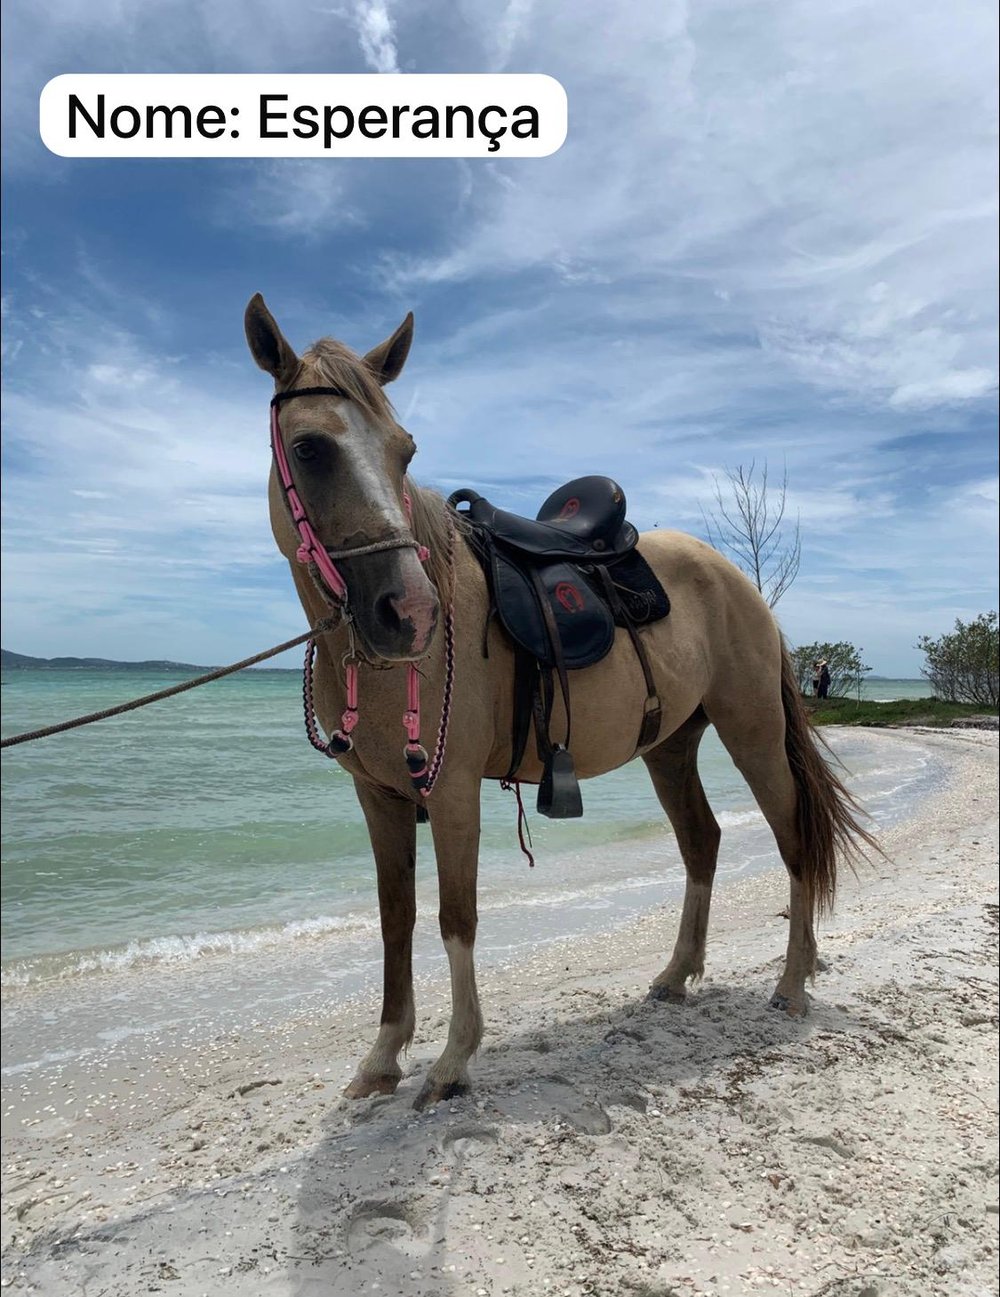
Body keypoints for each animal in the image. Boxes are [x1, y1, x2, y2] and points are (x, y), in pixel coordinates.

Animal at [245, 294, 875, 1112]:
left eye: (404, 451)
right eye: (311, 449)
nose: (409, 613)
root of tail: (737, 580)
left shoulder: (450, 790)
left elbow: (455, 916)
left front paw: (453, 1060)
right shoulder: (378, 797)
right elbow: (395, 919)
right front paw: (383, 1056)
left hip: (755, 734)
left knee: (794, 841)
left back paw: (792, 984)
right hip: (672, 746)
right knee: (701, 841)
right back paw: (676, 975)